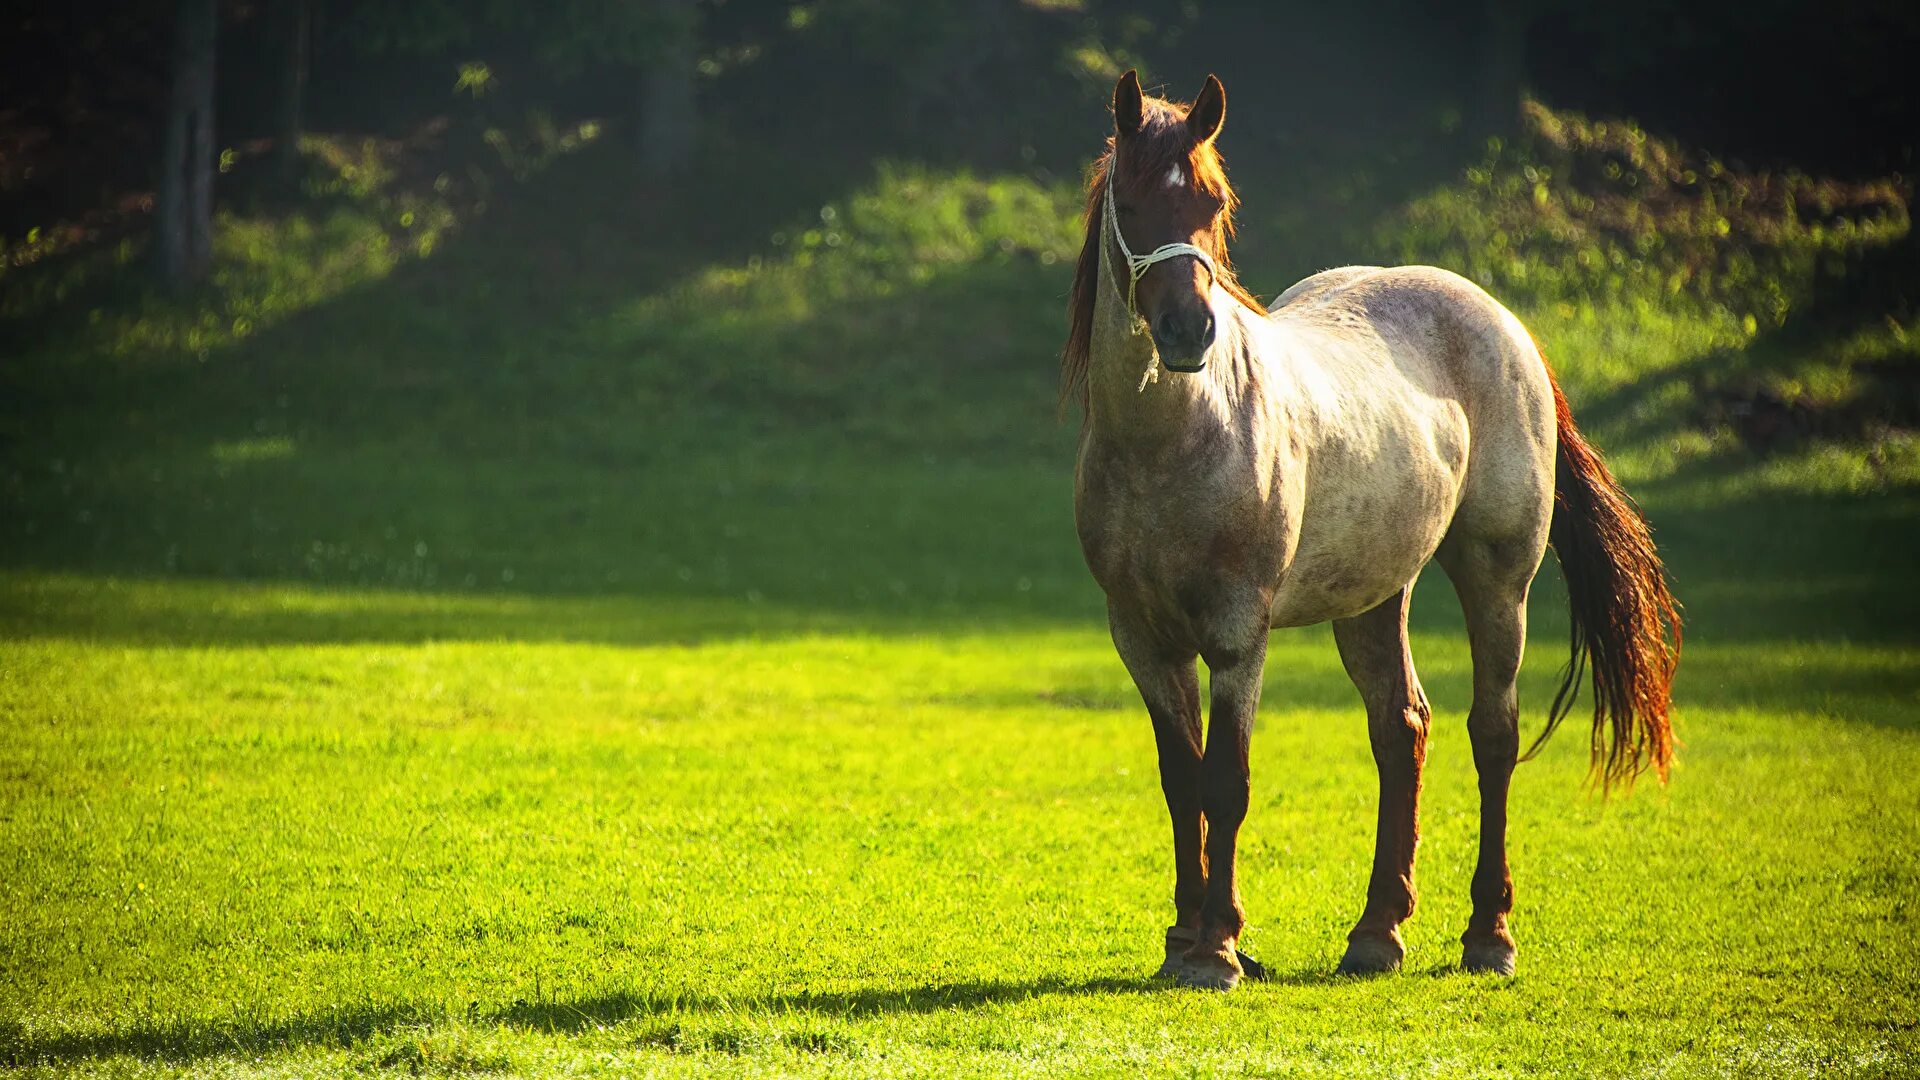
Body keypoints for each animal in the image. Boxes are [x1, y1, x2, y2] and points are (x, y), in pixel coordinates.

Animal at [1067, 71, 1681, 991]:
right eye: (1132, 203)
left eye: (1213, 203)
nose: (1189, 333)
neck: (1171, 441)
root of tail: (1504, 322)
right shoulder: (1140, 636)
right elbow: (1181, 781)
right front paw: (1185, 938)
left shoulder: (1237, 635)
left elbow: (1225, 782)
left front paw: (1216, 949)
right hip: (1371, 598)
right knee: (1402, 728)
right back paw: (1377, 932)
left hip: (1498, 577)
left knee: (1492, 734)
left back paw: (1488, 935)